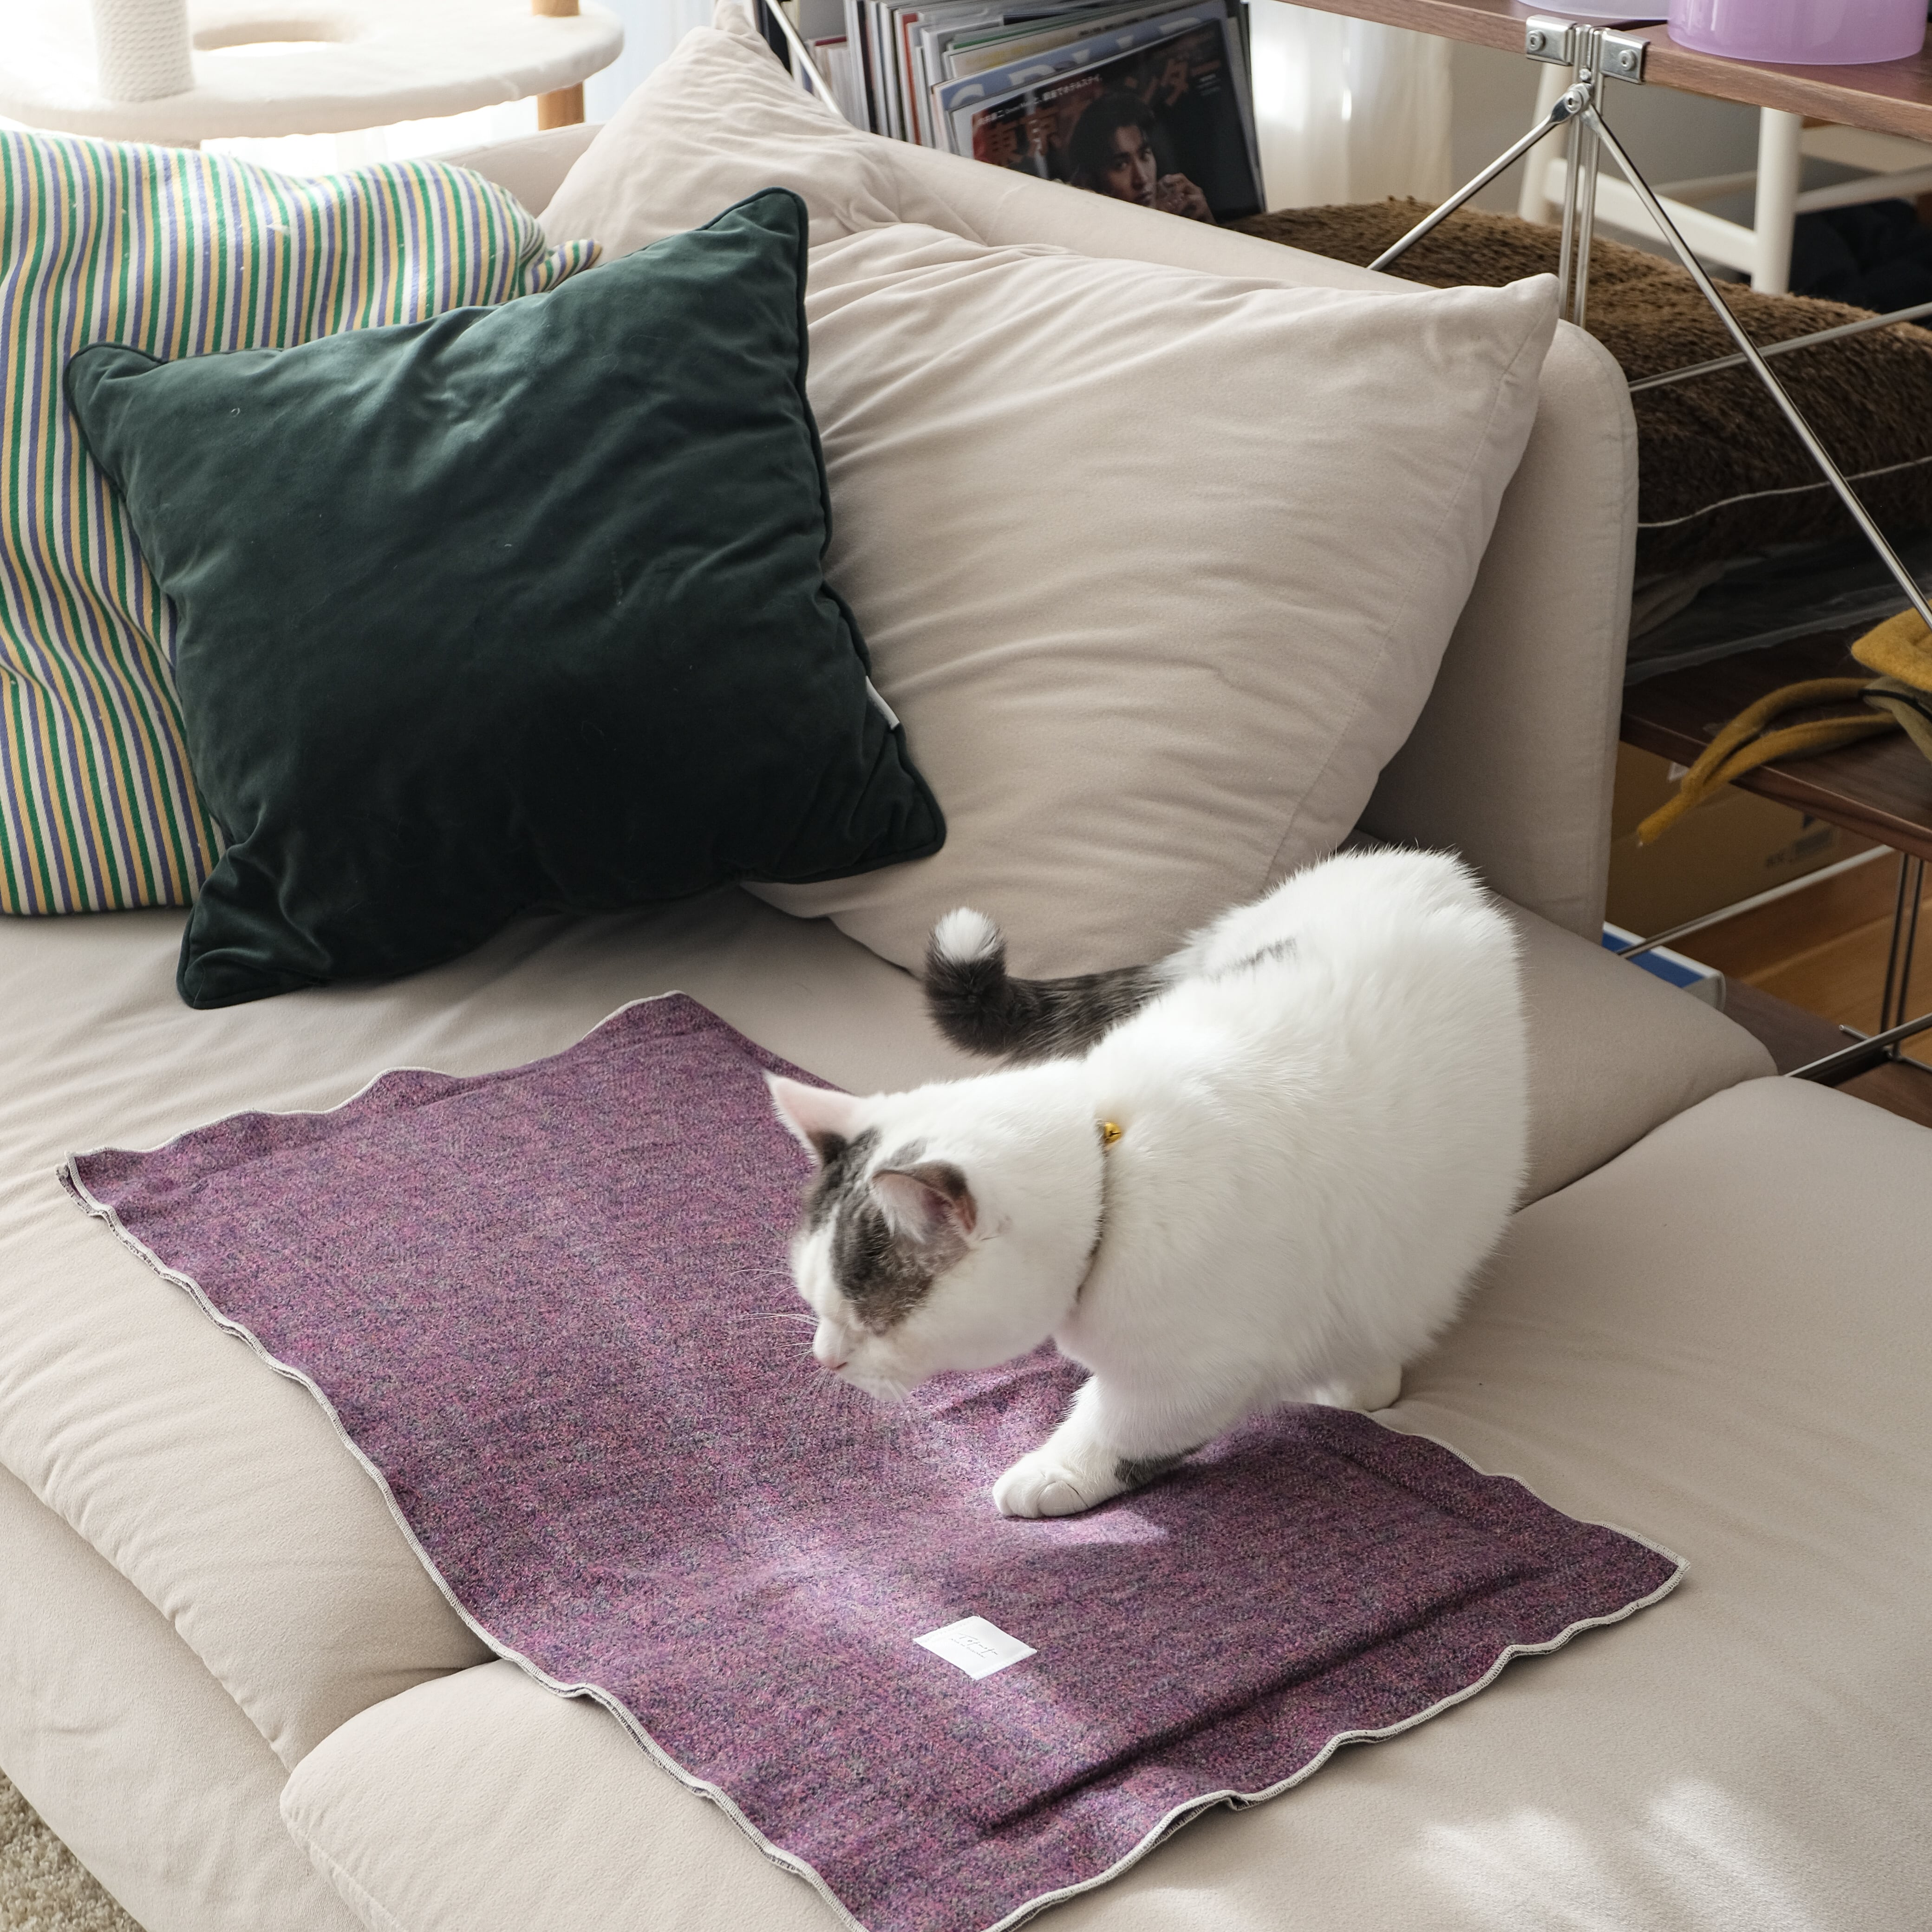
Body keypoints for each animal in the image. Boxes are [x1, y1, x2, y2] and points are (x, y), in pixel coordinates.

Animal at [767, 847, 1527, 1519]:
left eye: (872, 1320)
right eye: (816, 1303)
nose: (824, 1360)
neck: (1115, 1183)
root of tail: (1428, 864)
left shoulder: (1192, 1367)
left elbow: (1125, 1427)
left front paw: (1054, 1473)